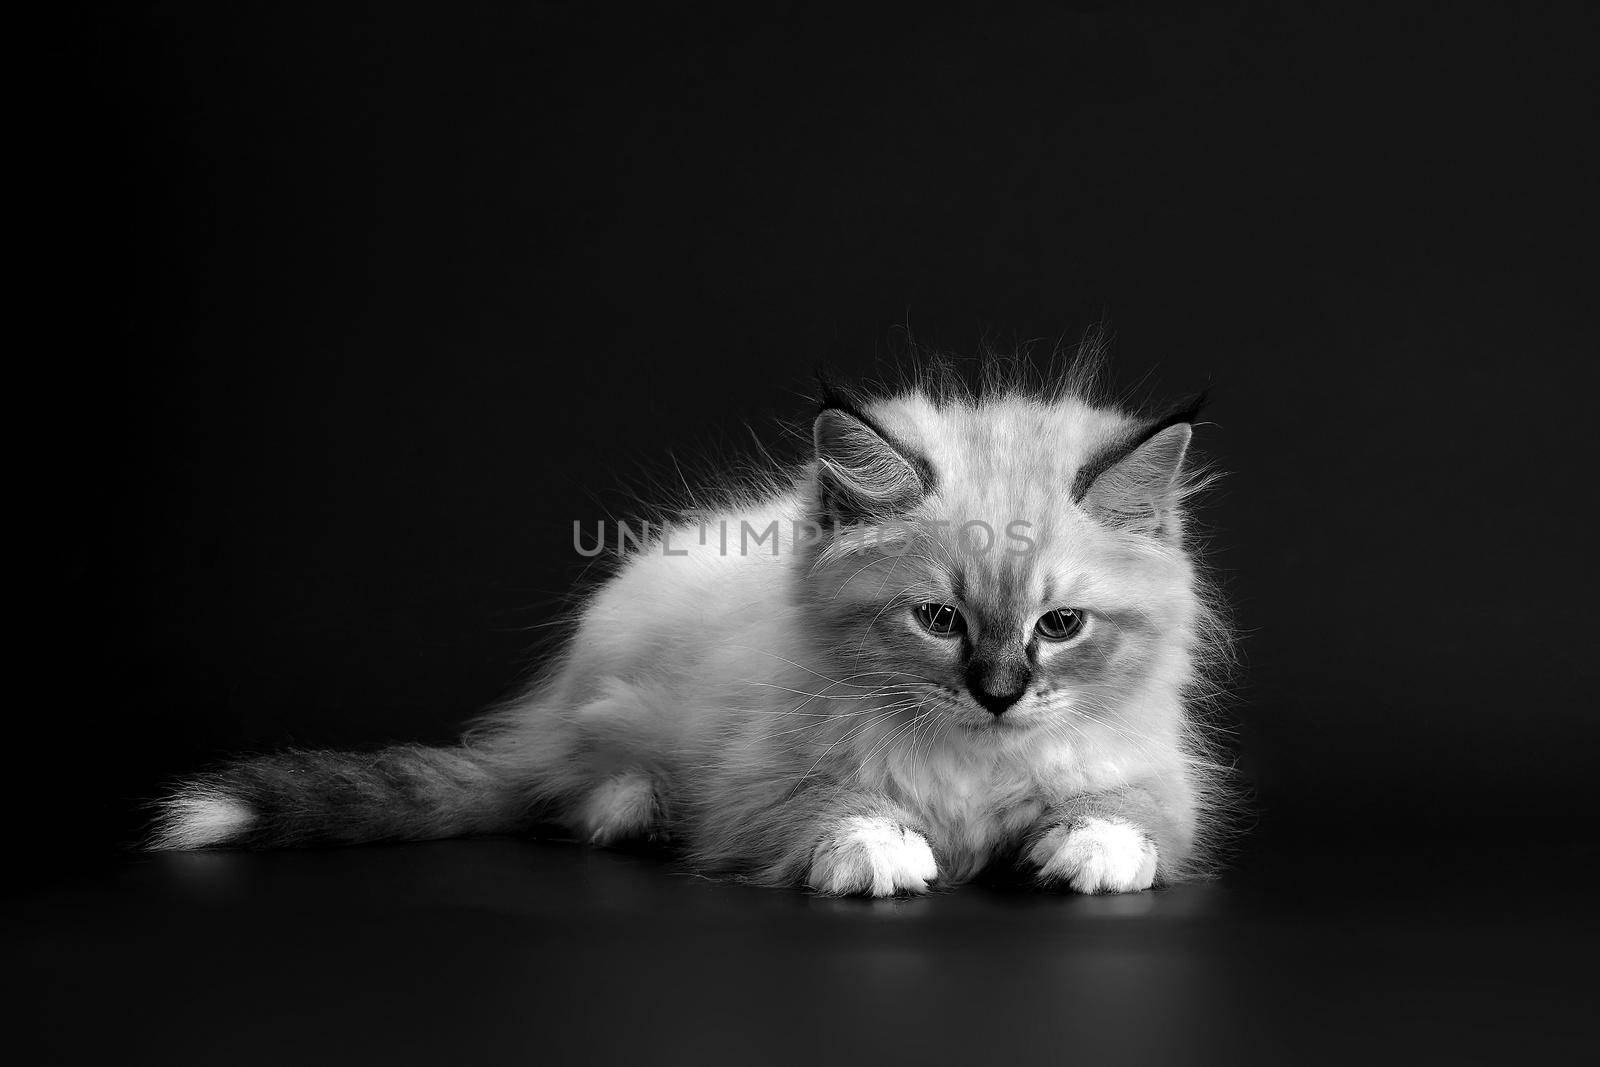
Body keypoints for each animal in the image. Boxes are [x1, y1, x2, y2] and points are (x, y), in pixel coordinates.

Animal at [147, 363, 1222, 895]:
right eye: (938, 619)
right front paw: (885, 854)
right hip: (610, 710)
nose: (998, 695)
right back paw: (639, 807)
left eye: (1061, 624)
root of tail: (545, 709)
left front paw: (1088, 854)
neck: (973, 765)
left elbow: (1133, 820)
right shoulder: (753, 790)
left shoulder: (1155, 778)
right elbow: (831, 810)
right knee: (579, 793)